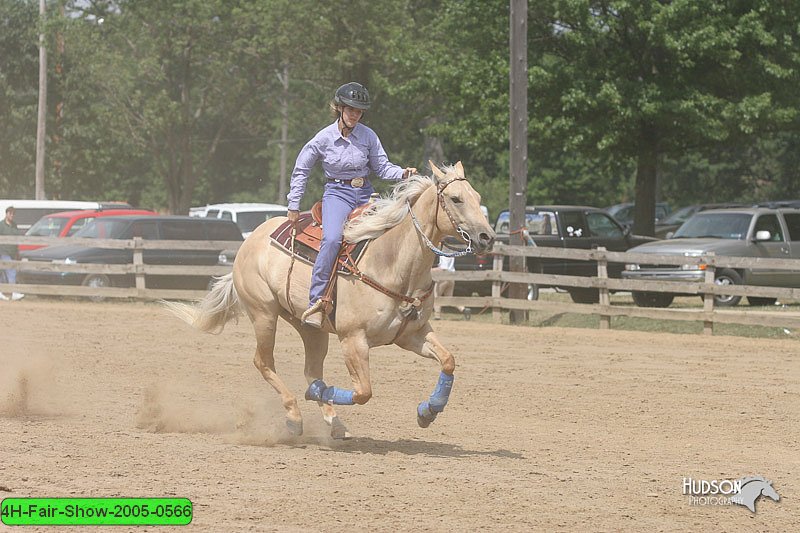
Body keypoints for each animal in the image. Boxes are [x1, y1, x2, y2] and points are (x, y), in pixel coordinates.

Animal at [166, 161, 494, 436]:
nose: (487, 237)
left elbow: (448, 361)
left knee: (311, 370)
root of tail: (252, 239)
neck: (391, 261)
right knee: (264, 362)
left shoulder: (412, 334)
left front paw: (428, 411)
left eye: (478, 196)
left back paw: (335, 423)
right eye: (456, 199)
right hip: (264, 314)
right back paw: (295, 418)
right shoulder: (353, 340)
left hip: (310, 327)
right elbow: (363, 392)